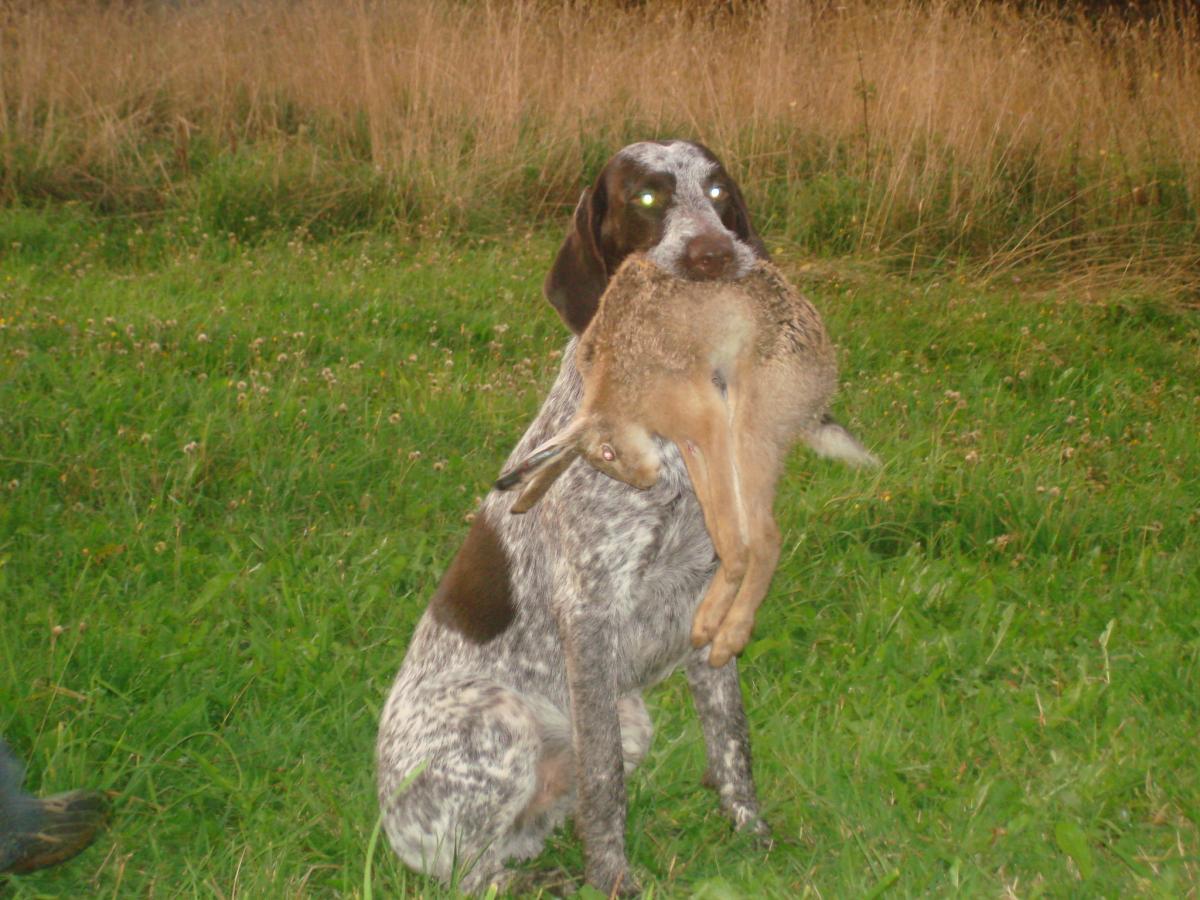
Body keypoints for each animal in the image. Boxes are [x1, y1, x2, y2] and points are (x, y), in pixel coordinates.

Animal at [374, 139, 854, 897]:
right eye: (647, 198)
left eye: (717, 191)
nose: (715, 255)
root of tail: (387, 822)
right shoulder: (591, 613)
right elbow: (604, 782)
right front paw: (614, 879)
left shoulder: (708, 597)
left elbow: (732, 742)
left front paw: (753, 837)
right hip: (502, 721)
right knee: (470, 870)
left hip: (628, 719)